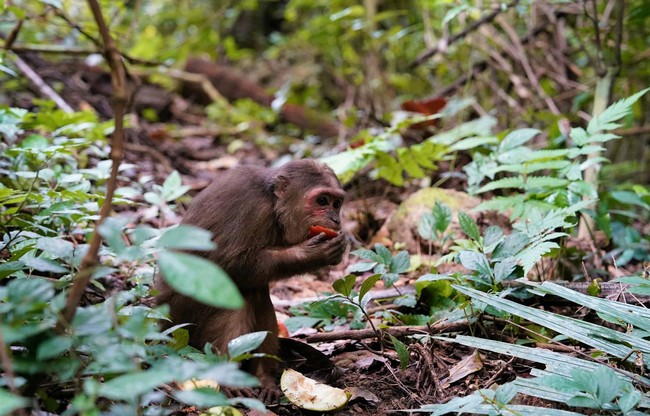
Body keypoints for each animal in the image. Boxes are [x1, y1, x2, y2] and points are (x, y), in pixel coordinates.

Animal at [155, 160, 346, 390]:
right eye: (322, 200)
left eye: (337, 204)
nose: (335, 218)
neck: (273, 205)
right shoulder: (253, 209)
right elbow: (226, 265)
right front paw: (310, 254)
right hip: (182, 327)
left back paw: (263, 376)